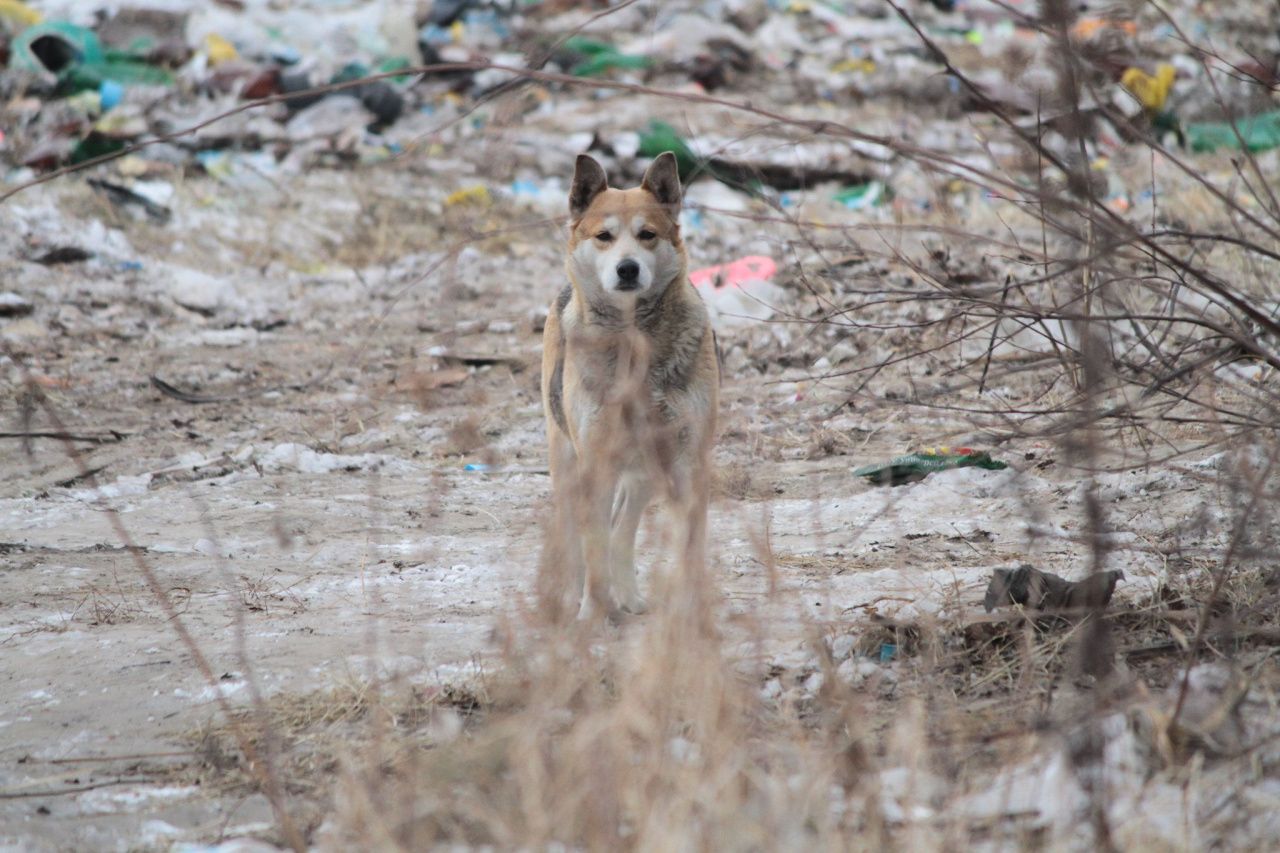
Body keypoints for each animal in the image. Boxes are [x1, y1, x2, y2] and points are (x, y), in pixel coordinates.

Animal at [537, 153, 721, 617]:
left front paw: (689, 614)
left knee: (622, 525)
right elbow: (592, 547)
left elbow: (689, 547)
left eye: (647, 235)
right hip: (567, 458)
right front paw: (591, 615)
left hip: (648, 471)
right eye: (604, 236)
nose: (627, 268)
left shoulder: (688, 462)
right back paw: (573, 597)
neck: (635, 341)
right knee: (576, 532)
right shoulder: (596, 460)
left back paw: (629, 596)